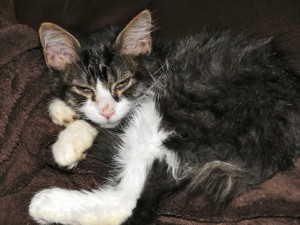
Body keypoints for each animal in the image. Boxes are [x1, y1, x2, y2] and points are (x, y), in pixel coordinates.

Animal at [28, 10, 300, 225]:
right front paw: (65, 110)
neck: (155, 59)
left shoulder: (143, 97)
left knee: (127, 202)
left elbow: (112, 123)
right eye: (84, 89)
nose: (107, 110)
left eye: (122, 83)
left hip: (175, 102)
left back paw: (46, 204)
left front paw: (68, 140)